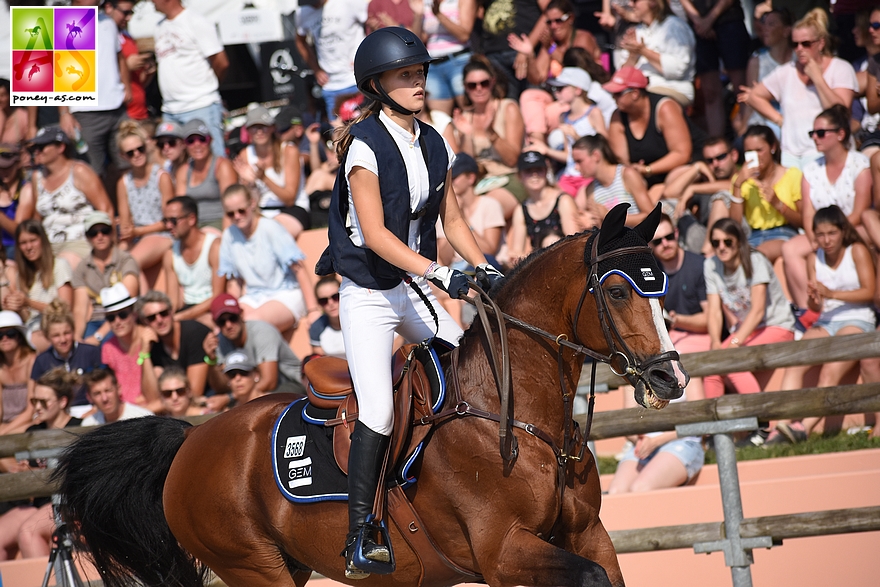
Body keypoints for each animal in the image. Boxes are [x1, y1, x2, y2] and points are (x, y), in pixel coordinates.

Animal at [55, 203, 688, 587]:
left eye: (663, 284)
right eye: (617, 290)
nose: (670, 380)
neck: (523, 421)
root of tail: (192, 439)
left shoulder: (589, 535)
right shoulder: (503, 551)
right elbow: (588, 576)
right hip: (255, 567)